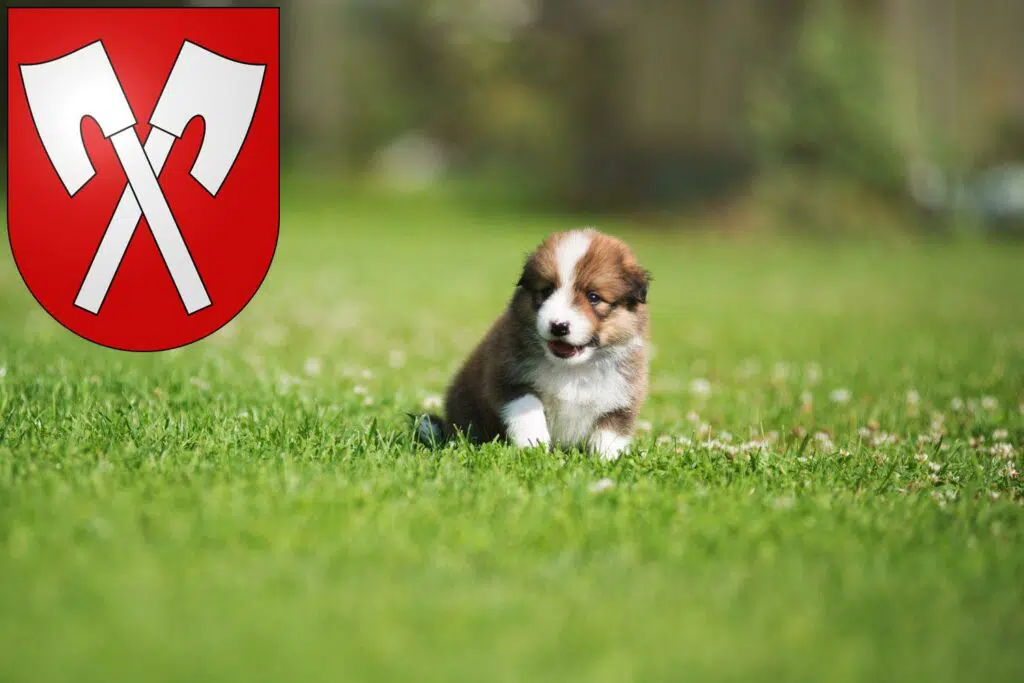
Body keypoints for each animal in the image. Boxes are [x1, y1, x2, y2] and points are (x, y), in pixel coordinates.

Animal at [413, 228, 647, 458]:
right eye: (546, 291)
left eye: (594, 297)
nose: (558, 326)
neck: (571, 368)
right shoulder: (507, 376)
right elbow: (528, 408)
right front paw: (533, 445)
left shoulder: (622, 399)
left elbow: (610, 434)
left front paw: (608, 460)